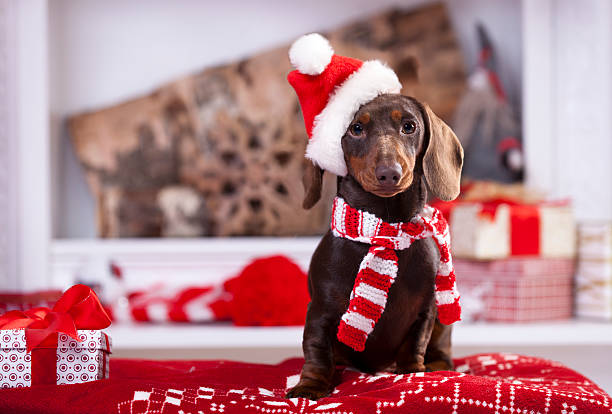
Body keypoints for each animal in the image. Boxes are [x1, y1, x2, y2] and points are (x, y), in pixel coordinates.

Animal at [286, 94, 464, 402]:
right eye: (356, 128)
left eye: (409, 126)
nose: (390, 173)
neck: (385, 229)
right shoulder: (320, 311)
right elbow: (317, 349)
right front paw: (310, 386)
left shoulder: (425, 312)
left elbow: (414, 345)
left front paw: (414, 373)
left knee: (441, 349)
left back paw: (437, 365)